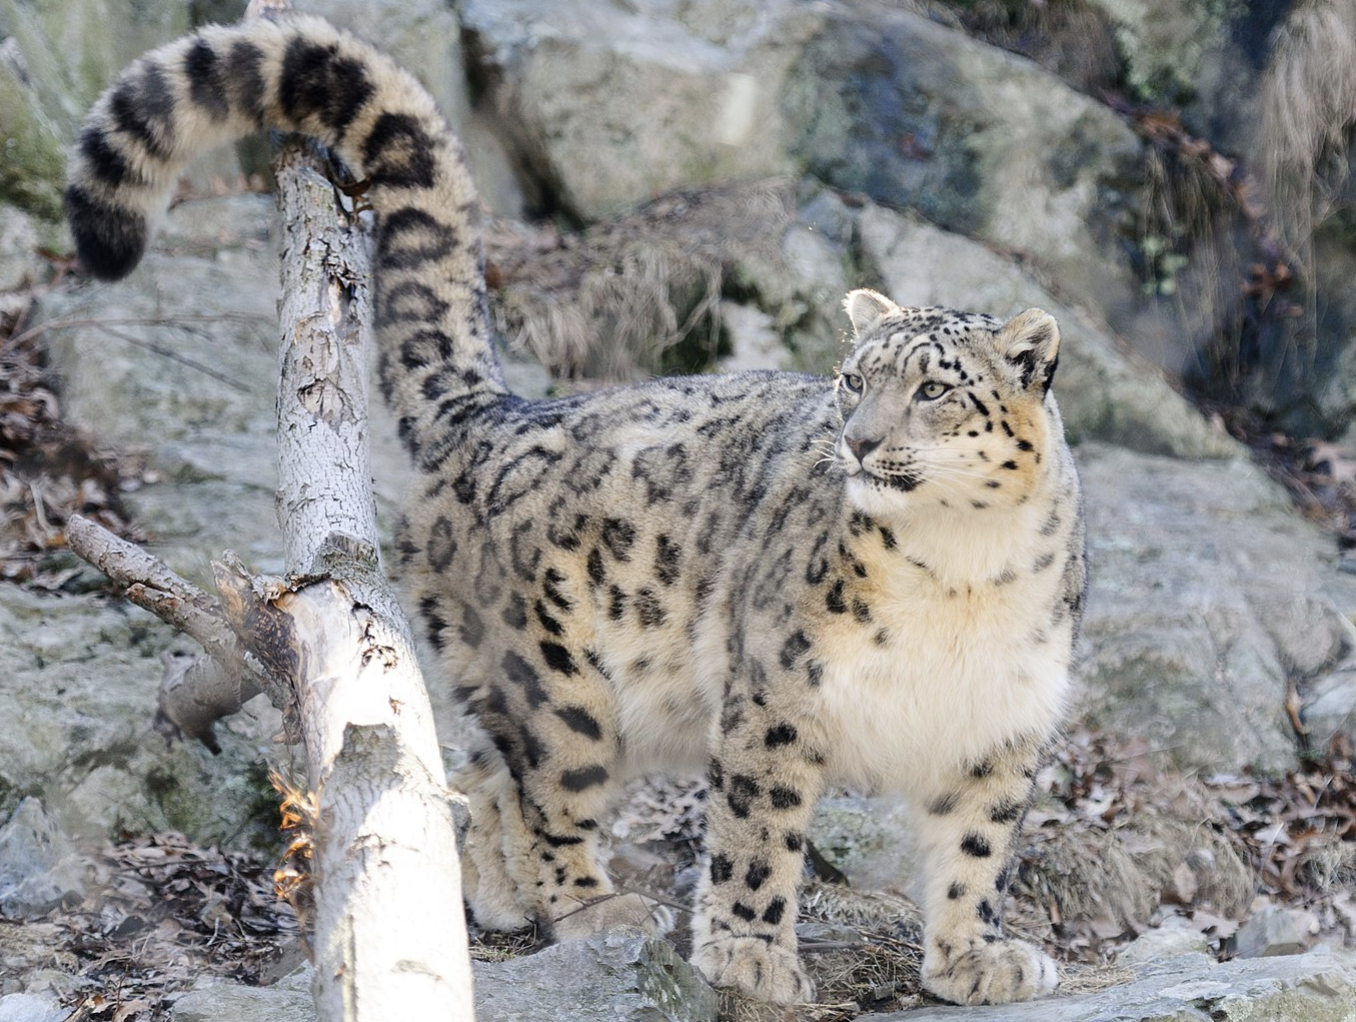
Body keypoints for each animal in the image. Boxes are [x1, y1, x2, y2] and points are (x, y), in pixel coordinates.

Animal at [66, 14, 1086, 1007]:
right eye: (853, 379)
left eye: (934, 390)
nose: (862, 441)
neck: (958, 571)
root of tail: (497, 411)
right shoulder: (776, 695)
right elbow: (758, 833)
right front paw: (751, 954)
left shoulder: (1002, 723)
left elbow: (978, 848)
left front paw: (976, 957)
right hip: (560, 682)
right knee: (547, 788)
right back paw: (595, 908)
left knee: (483, 772)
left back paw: (498, 894)